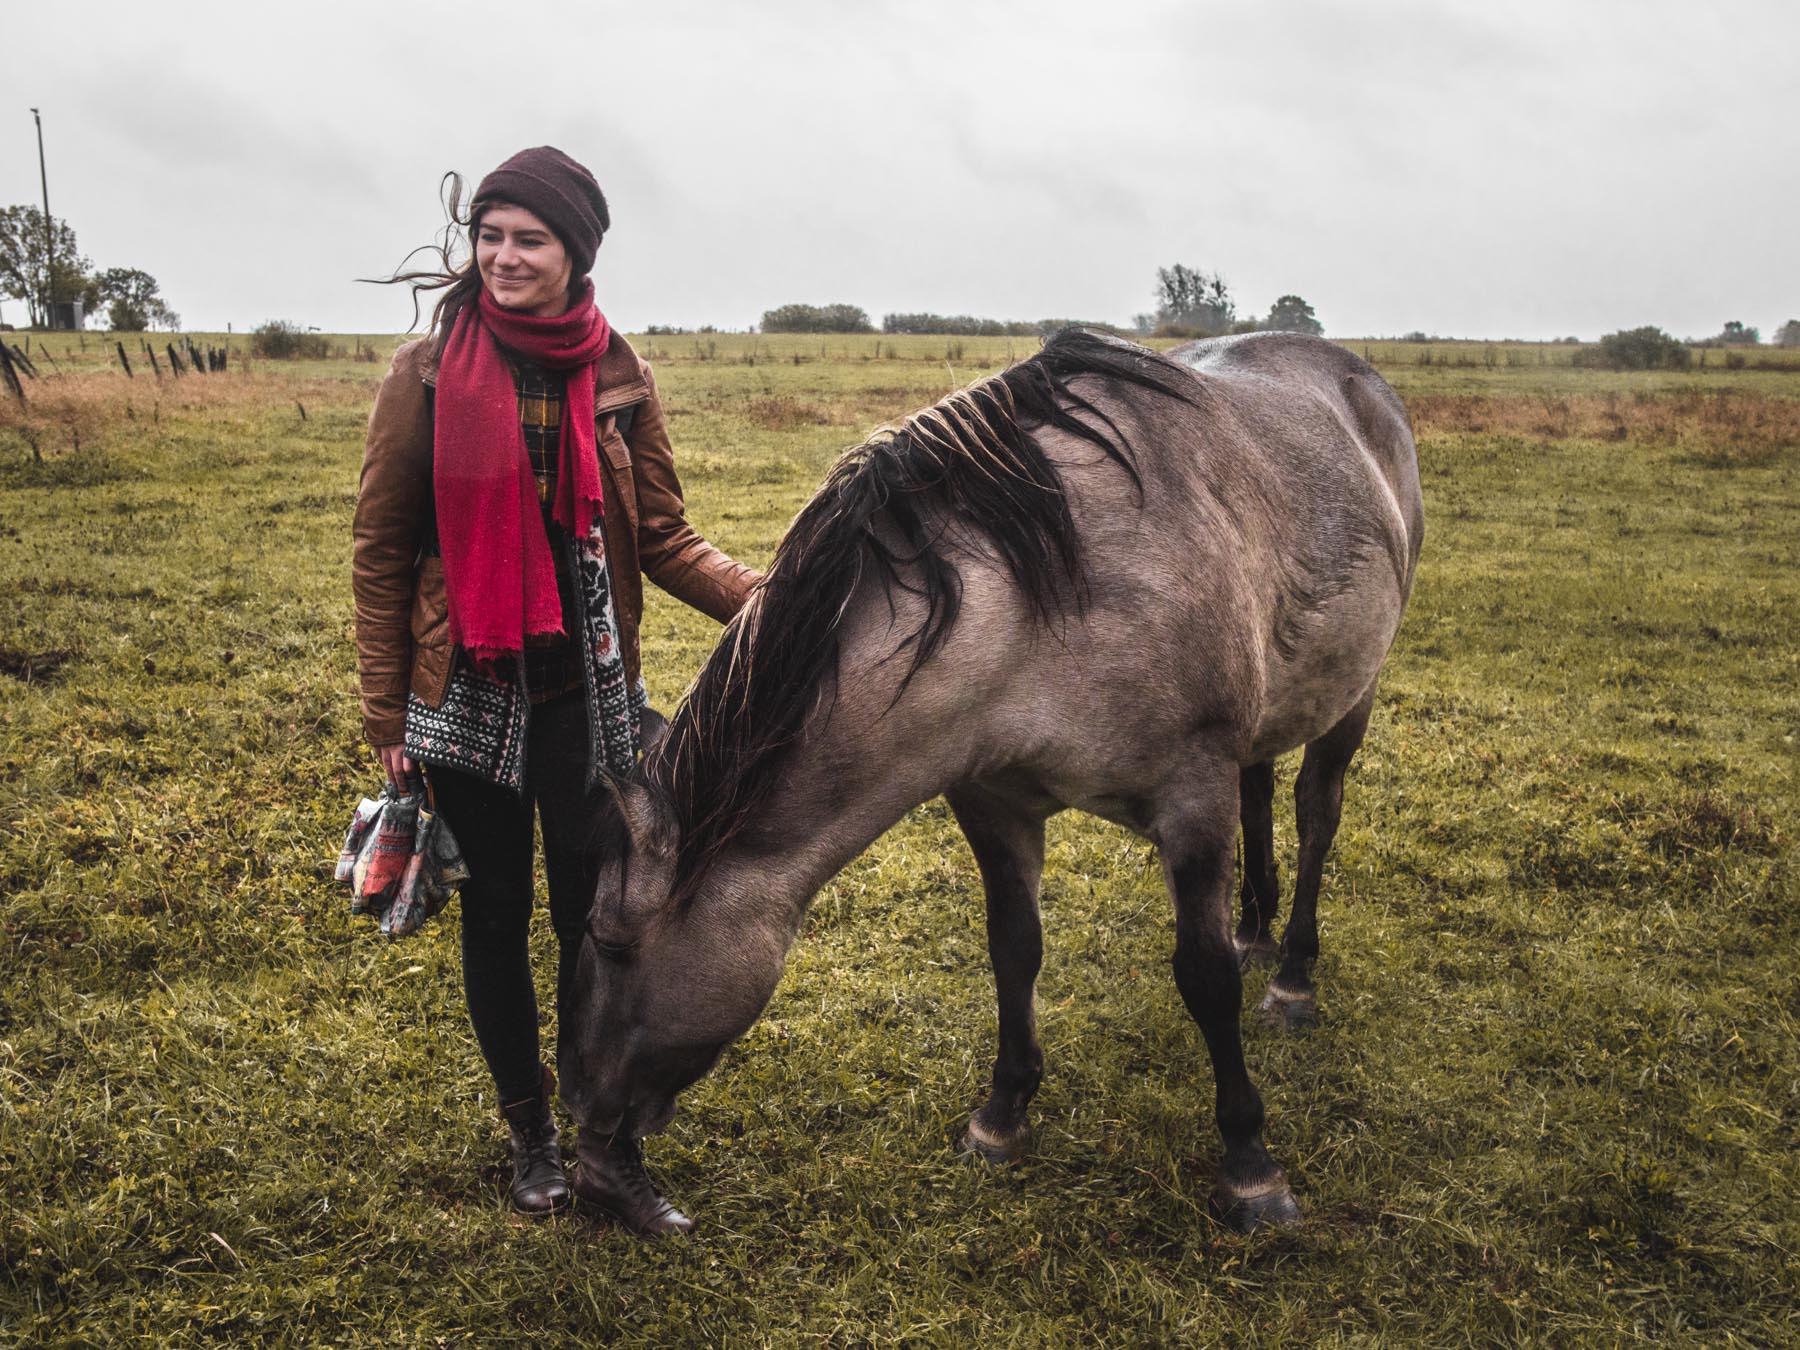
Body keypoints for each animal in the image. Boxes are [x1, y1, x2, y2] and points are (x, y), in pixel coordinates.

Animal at [562, 328, 1423, 1233]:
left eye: (609, 940)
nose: (581, 1102)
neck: (1042, 609)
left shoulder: (1193, 800)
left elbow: (1206, 977)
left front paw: (1251, 1165)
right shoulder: (994, 802)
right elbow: (1015, 950)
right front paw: (1002, 1117)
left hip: (1353, 696)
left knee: (1315, 816)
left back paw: (1291, 976)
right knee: (1260, 795)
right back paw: (1256, 930)